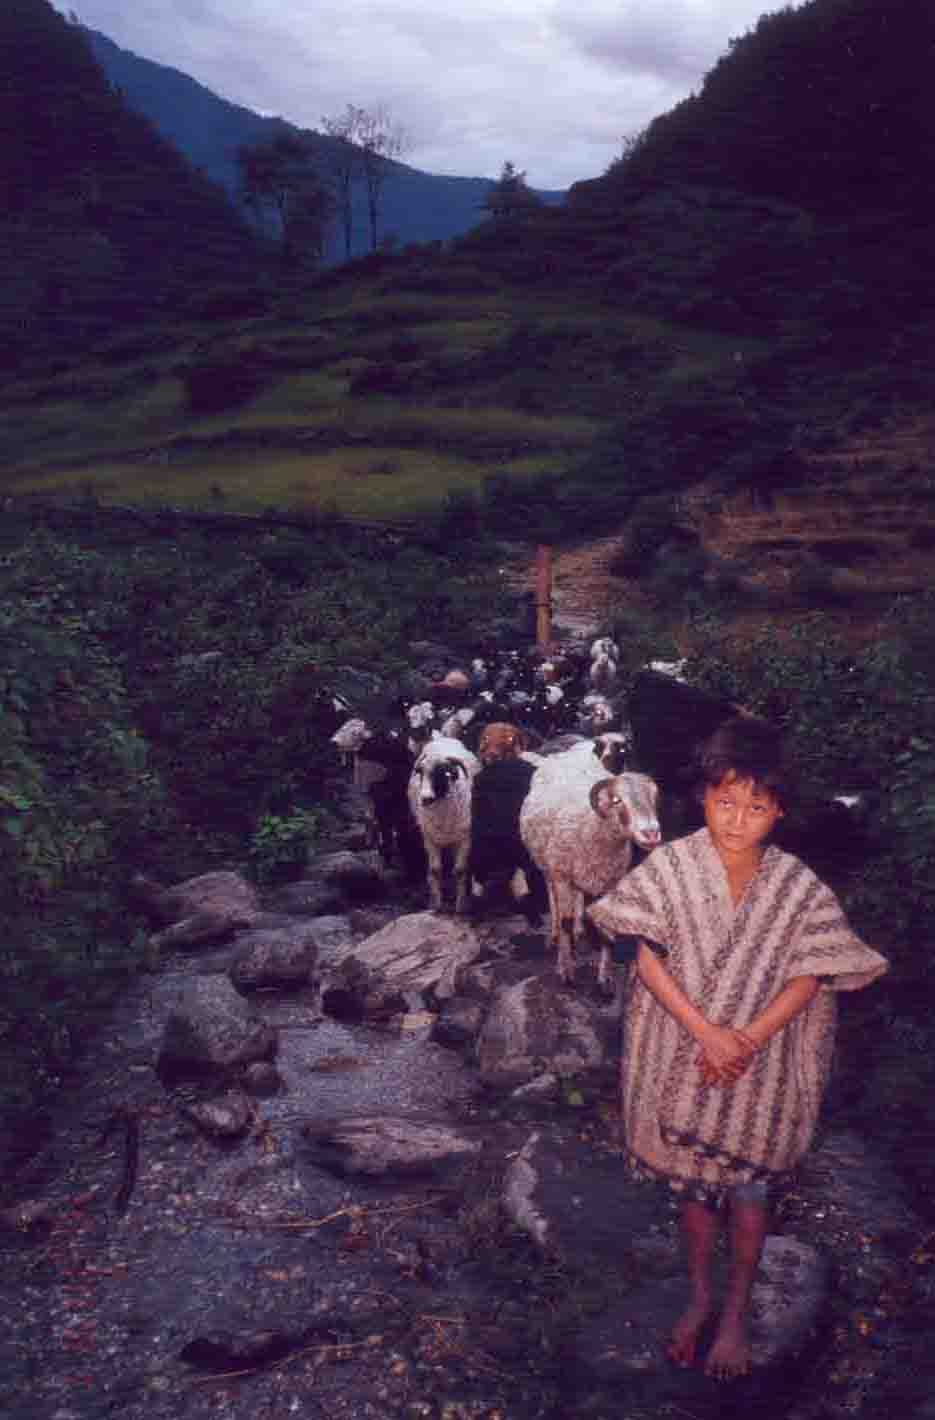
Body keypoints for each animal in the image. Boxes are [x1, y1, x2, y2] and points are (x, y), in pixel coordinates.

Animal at [407, 735, 481, 913]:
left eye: (440, 772)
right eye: (420, 772)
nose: (425, 799)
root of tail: (444, 738)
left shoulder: (465, 839)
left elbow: (460, 870)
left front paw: (461, 905)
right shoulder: (429, 838)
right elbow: (435, 870)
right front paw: (436, 905)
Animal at [520, 765, 661, 987]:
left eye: (653, 796)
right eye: (617, 800)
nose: (651, 833)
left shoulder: (609, 881)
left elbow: (606, 927)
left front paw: (604, 976)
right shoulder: (561, 875)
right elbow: (565, 922)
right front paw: (566, 969)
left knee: (578, 896)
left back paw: (579, 930)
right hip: (548, 865)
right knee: (553, 900)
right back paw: (554, 935)